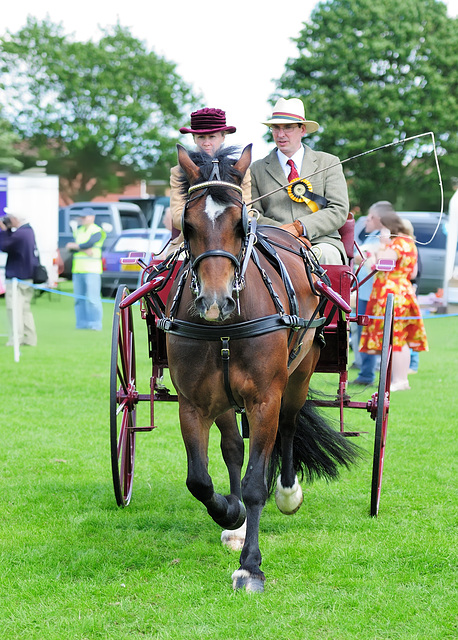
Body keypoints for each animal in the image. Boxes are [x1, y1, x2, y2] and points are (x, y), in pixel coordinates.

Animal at [162, 144, 358, 592]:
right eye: (187, 225)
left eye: (241, 223)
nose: (215, 302)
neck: (225, 327)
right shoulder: (193, 403)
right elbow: (200, 479)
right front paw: (228, 513)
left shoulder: (265, 397)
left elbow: (255, 483)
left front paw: (251, 566)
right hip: (224, 398)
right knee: (235, 446)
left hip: (299, 374)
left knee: (286, 427)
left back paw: (285, 493)